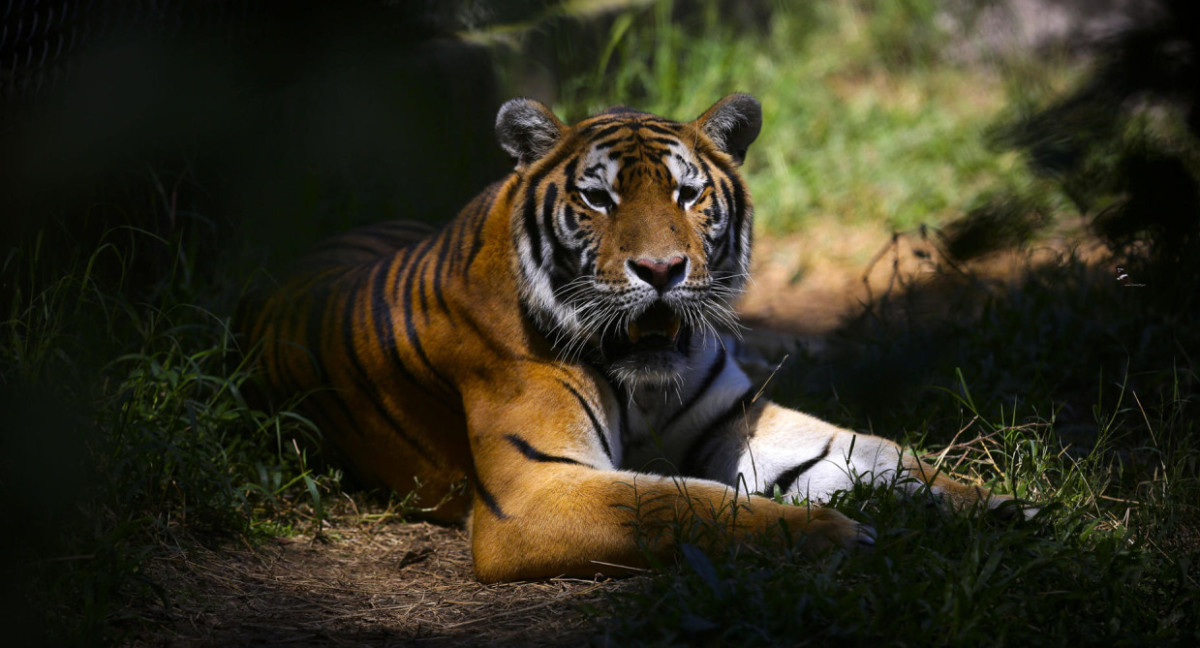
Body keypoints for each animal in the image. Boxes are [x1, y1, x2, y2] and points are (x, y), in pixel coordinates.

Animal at [238, 94, 1017, 583]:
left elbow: (882, 456)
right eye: (597, 199)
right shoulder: (536, 489)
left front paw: (1009, 511)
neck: (641, 376)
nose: (663, 270)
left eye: (687, 194)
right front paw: (832, 534)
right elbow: (682, 502)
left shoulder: (736, 421)